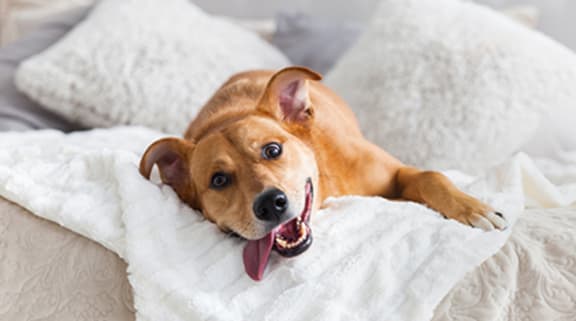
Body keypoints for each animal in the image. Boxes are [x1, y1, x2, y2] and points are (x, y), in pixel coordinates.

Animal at [141, 65, 508, 280]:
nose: (270, 204)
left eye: (272, 150)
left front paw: (474, 209)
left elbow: (432, 176)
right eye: (218, 180)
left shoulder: (399, 173)